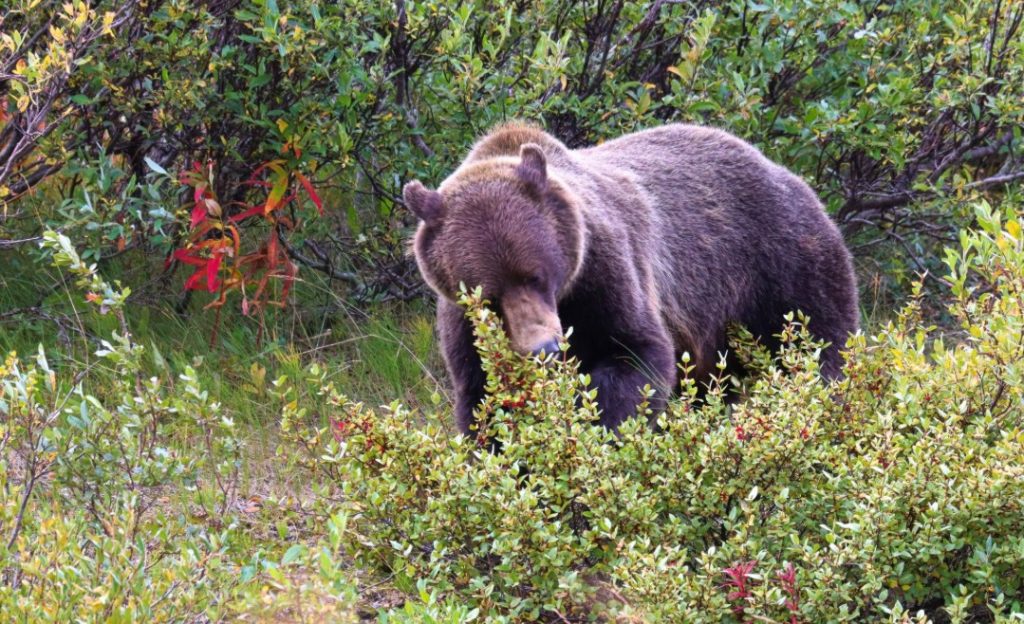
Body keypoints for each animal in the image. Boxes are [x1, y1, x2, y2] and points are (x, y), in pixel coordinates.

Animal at [403, 121, 859, 434]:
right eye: (488, 297)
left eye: (537, 277)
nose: (544, 348)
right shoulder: (462, 323)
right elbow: (482, 396)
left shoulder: (606, 269)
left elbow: (635, 353)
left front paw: (600, 425)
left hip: (780, 262)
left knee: (821, 339)